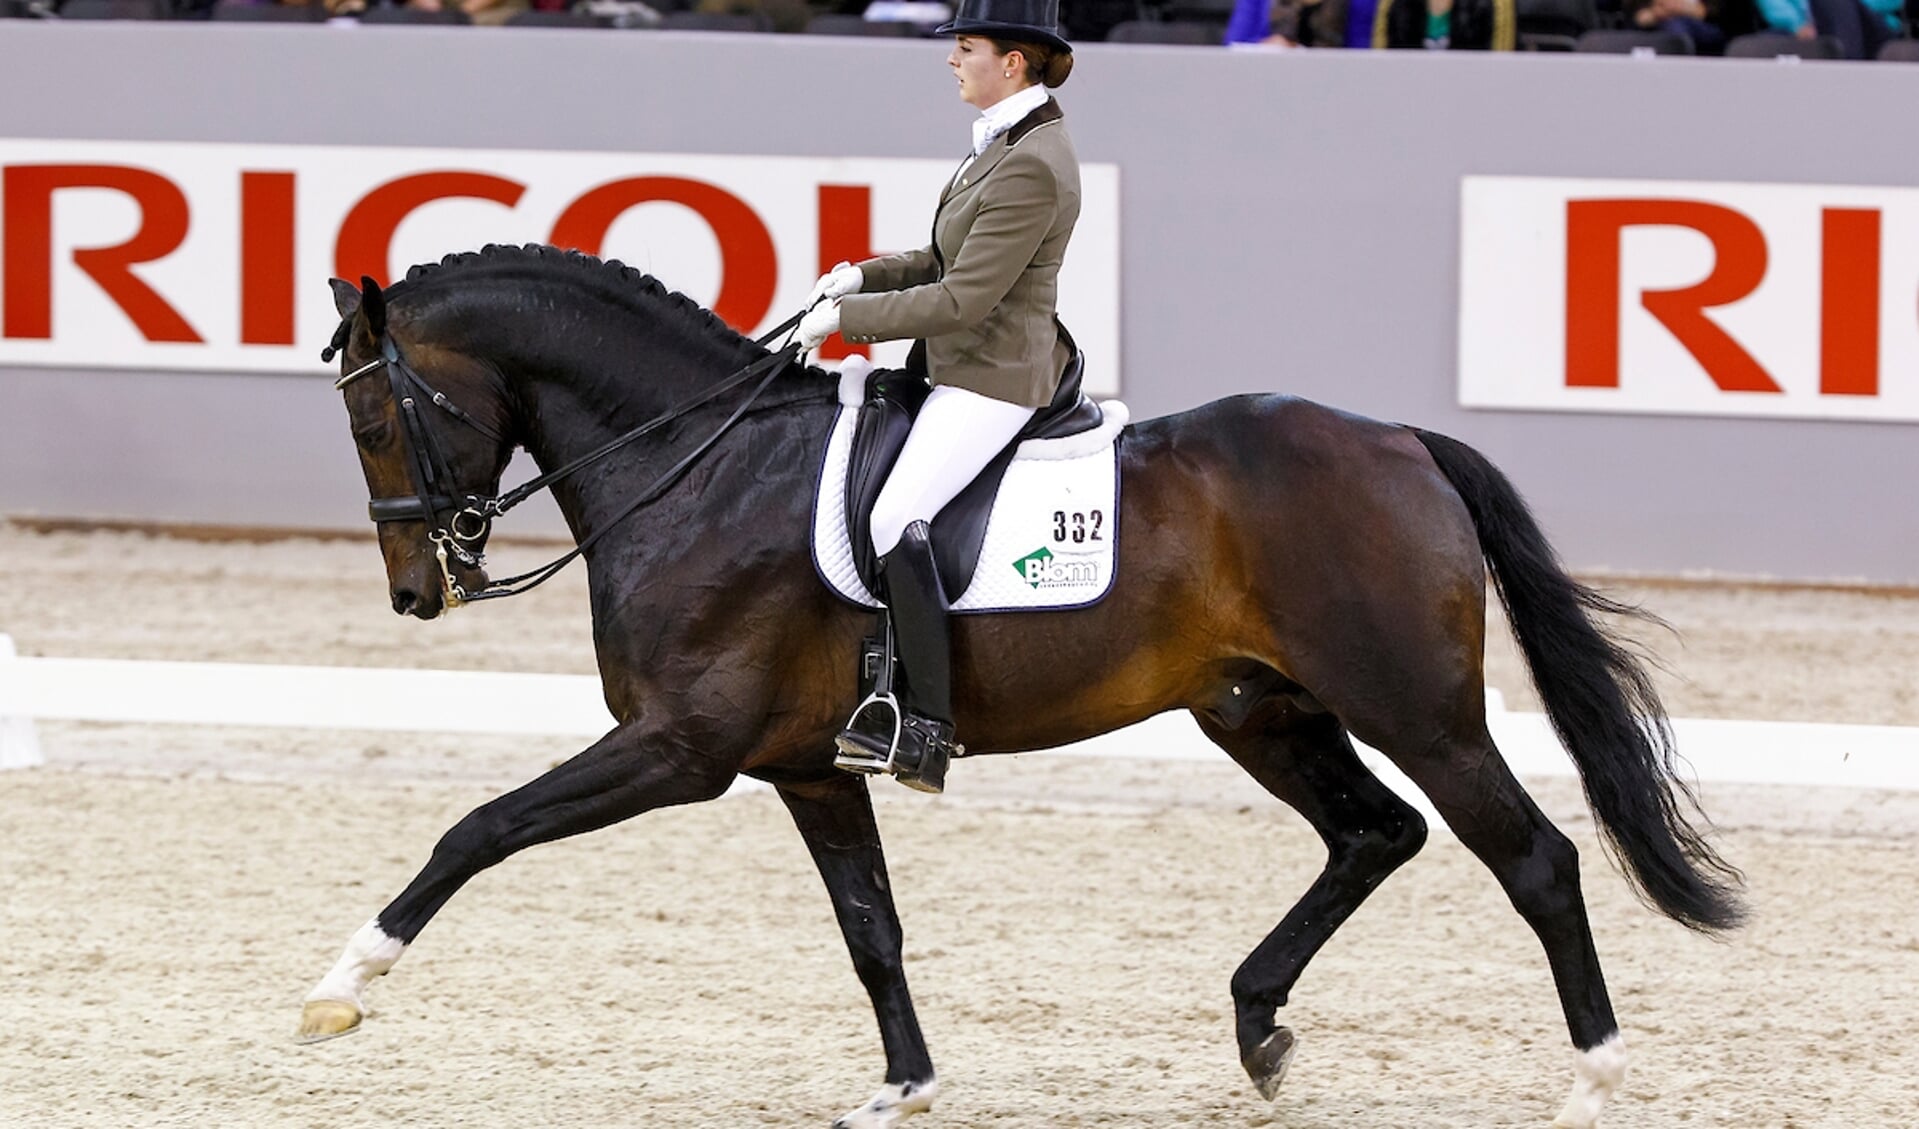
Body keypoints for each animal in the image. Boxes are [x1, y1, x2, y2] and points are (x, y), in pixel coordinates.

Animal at [295, 244, 1742, 1129]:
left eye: (369, 419)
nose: (418, 591)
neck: (699, 466)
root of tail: (1399, 441)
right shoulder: (809, 765)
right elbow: (870, 929)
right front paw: (902, 1087)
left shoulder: (679, 748)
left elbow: (476, 828)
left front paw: (341, 983)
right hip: (1255, 708)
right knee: (1372, 833)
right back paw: (1257, 1029)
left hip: (1414, 709)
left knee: (1531, 857)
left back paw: (1591, 1079)